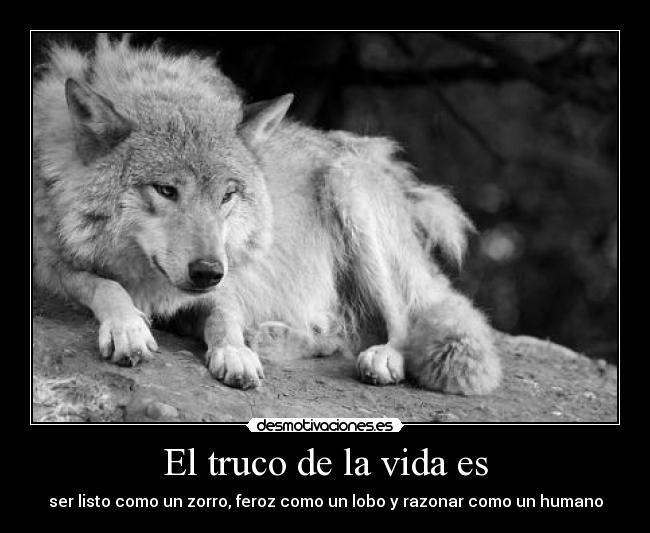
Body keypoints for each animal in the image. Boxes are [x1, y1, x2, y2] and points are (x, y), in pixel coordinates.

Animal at [32, 34, 501, 396]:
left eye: (227, 195)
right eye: (166, 190)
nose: (207, 271)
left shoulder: (227, 282)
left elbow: (224, 315)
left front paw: (235, 352)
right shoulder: (50, 268)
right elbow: (105, 285)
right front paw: (129, 327)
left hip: (348, 190)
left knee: (399, 326)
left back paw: (372, 357)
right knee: (337, 335)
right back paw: (274, 336)